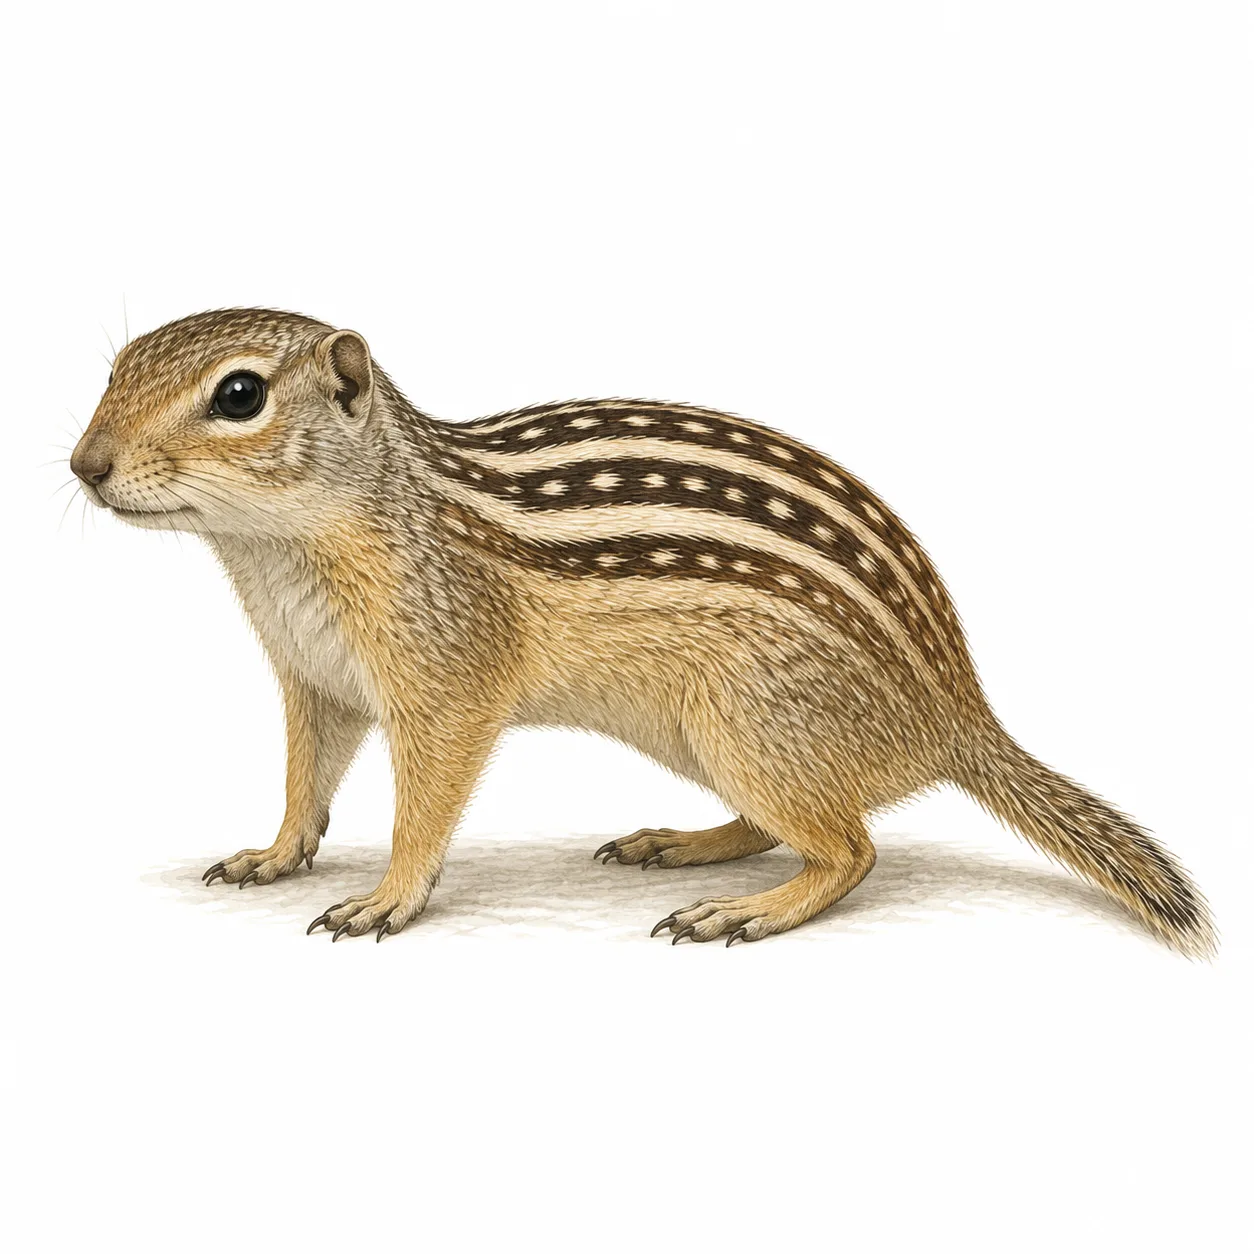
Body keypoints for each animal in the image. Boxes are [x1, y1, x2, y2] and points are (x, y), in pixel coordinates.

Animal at [69, 307, 1215, 952]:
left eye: (239, 395)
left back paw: (748, 911)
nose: (85, 464)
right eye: (114, 368)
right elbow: (304, 781)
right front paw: (271, 855)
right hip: (708, 737)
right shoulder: (316, 680)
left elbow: (423, 803)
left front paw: (386, 899)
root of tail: (961, 718)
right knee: (787, 825)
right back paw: (683, 844)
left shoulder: (445, 674)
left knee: (850, 848)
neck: (285, 551)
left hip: (750, 719)